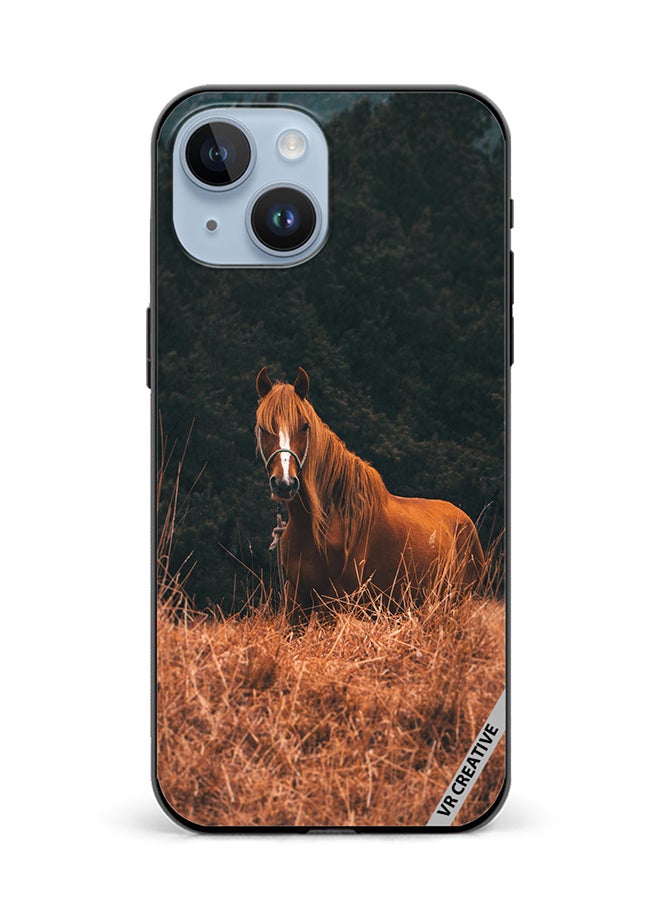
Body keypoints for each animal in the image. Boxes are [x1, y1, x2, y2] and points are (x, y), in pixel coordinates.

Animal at [255, 366, 485, 622]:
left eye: (304, 426)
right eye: (263, 428)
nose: (284, 483)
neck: (323, 524)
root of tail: (466, 522)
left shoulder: (333, 604)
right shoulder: (296, 599)